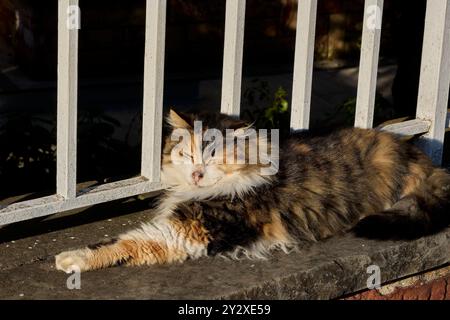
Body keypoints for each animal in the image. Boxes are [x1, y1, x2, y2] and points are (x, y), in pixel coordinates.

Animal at [55, 109, 450, 272]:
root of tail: (420, 156)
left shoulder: (190, 230)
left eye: (214, 156)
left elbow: (125, 243)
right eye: (188, 154)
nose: (197, 174)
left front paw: (71, 259)